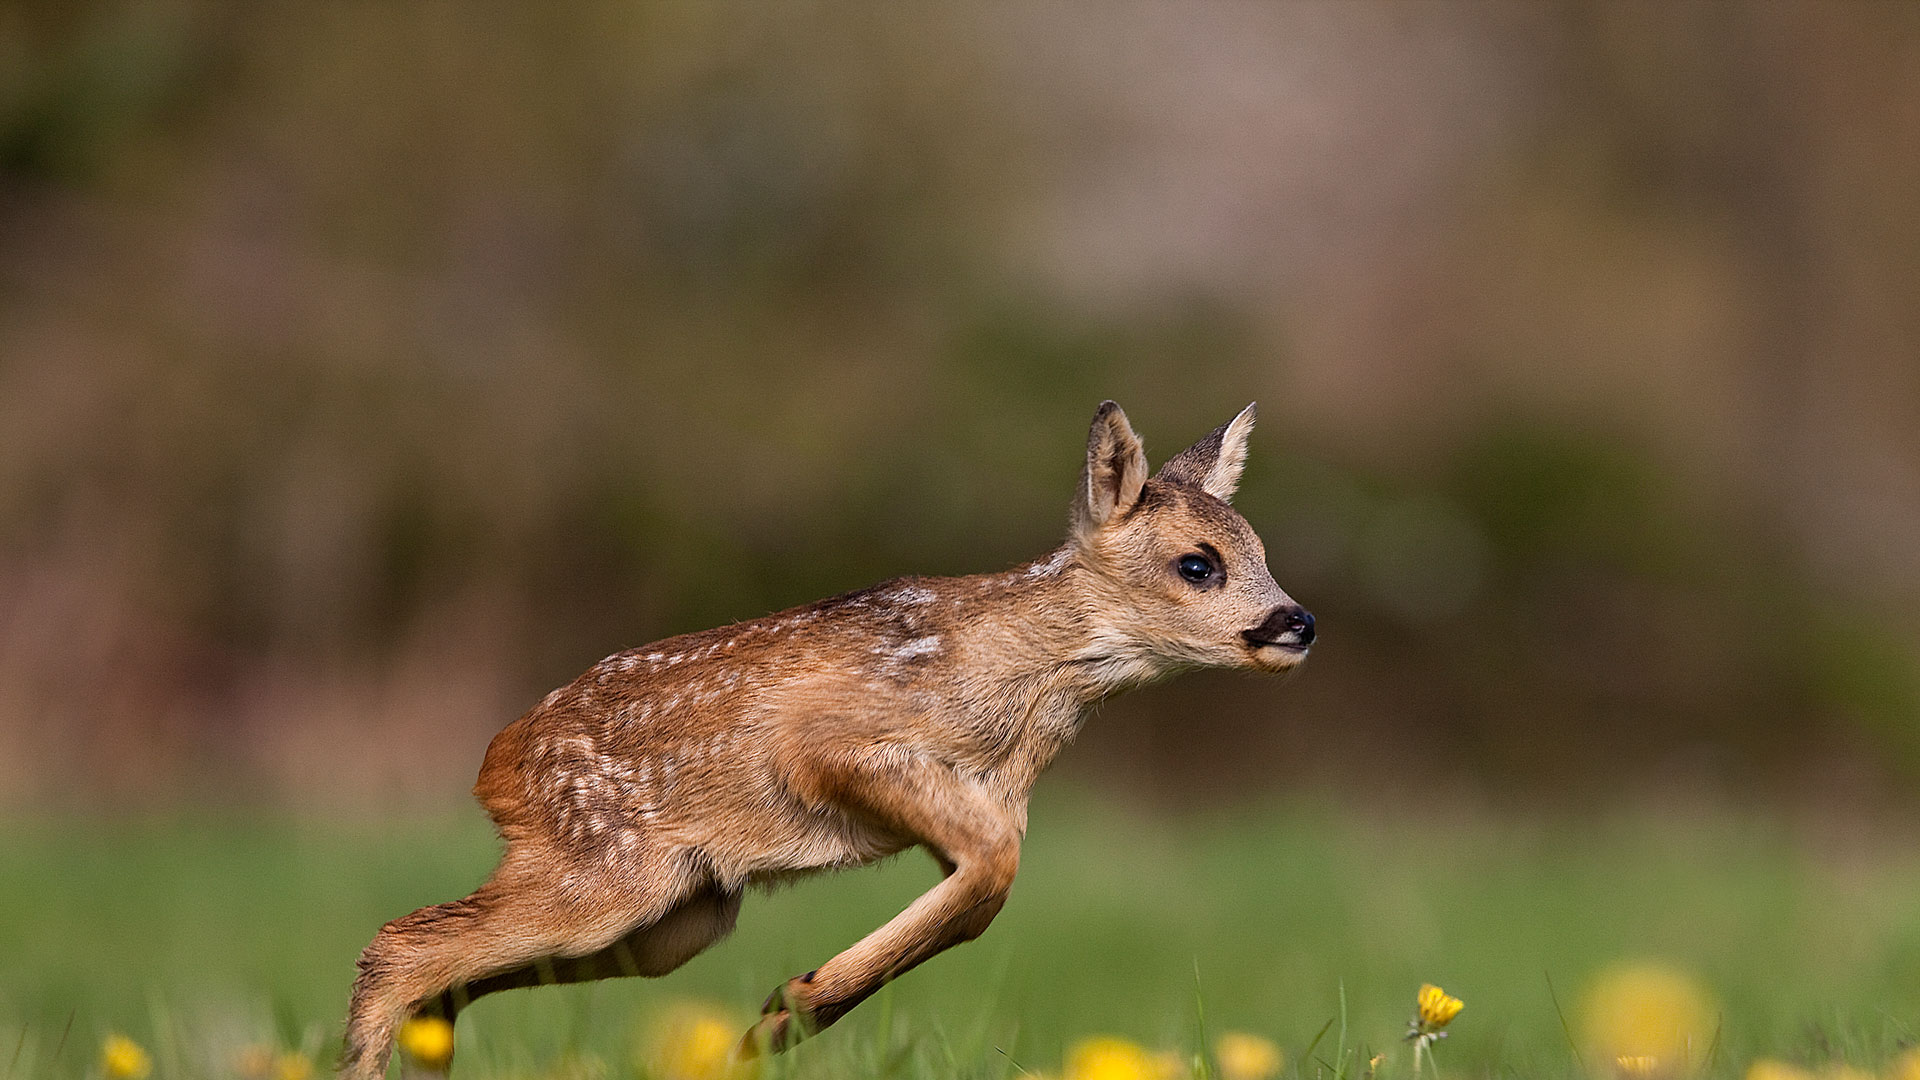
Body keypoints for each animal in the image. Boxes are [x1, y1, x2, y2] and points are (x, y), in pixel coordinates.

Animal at [345, 399, 1313, 1068]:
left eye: (1264, 551)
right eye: (1199, 564)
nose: (1296, 622)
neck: (1014, 697)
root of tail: (496, 763)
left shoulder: (987, 801)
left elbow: (984, 890)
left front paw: (783, 1018)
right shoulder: (831, 745)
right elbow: (993, 872)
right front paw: (792, 1008)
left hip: (673, 920)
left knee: (440, 981)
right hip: (605, 879)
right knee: (400, 947)